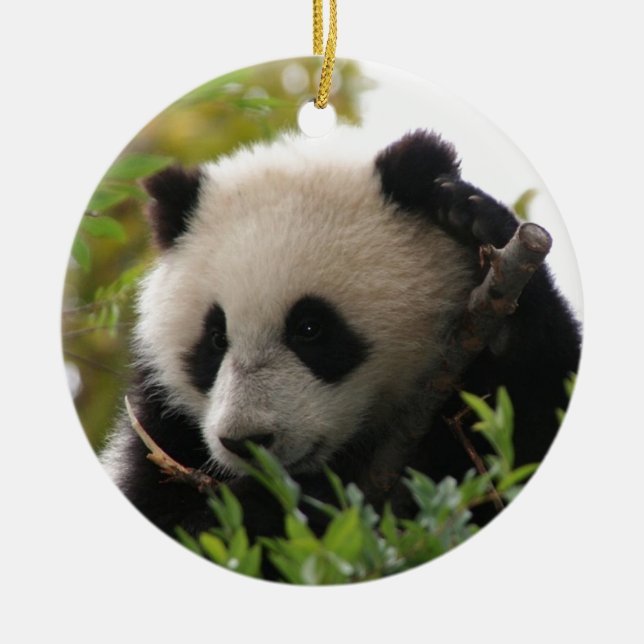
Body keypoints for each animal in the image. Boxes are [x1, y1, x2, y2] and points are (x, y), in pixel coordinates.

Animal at [101, 129, 581, 541]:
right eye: (216, 339)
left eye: (310, 329)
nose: (247, 442)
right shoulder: (162, 431)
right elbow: (177, 515)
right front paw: (273, 506)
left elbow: (528, 426)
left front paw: (475, 219)